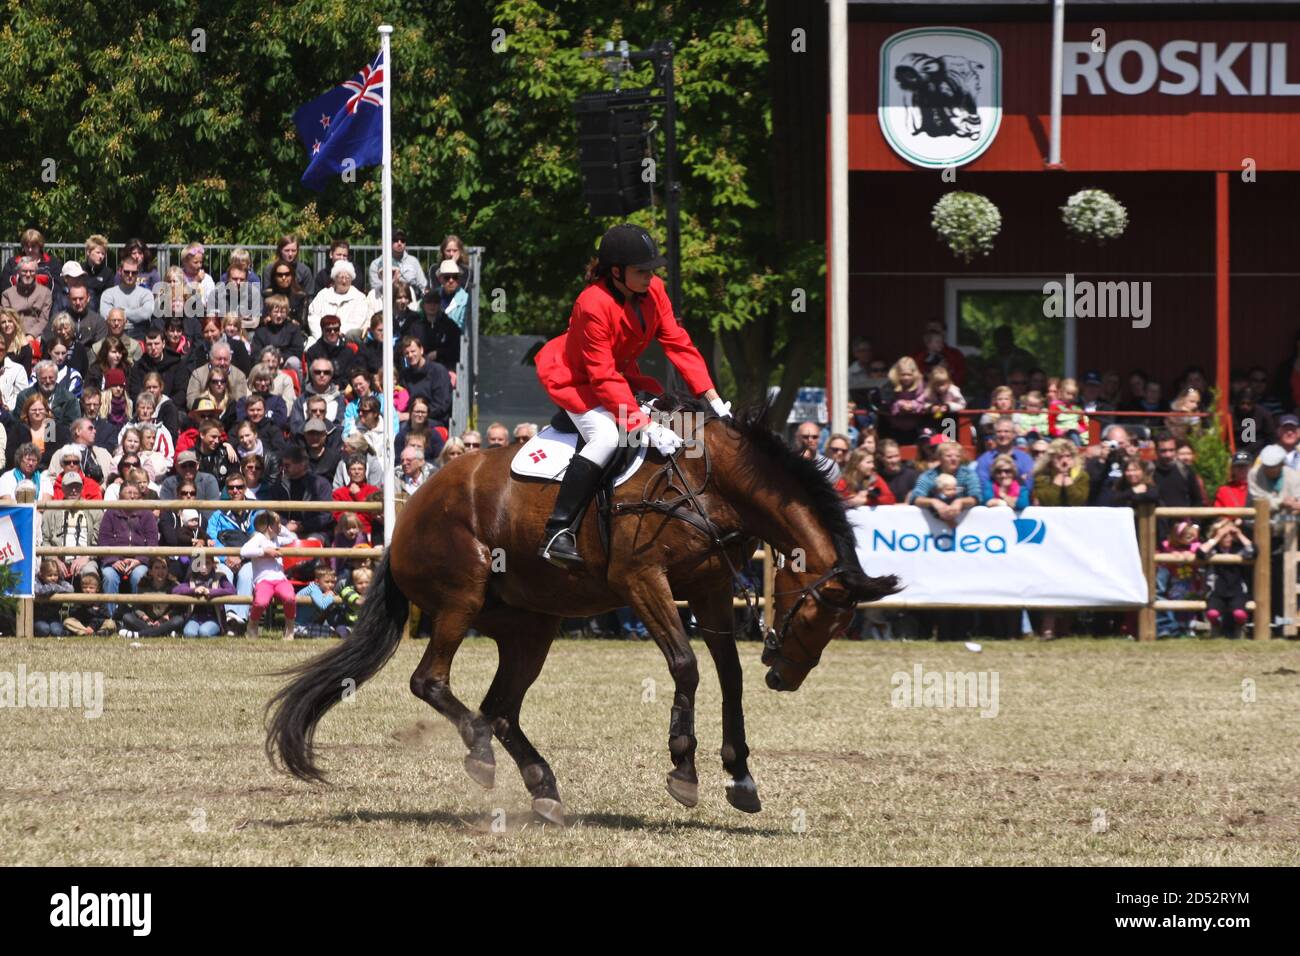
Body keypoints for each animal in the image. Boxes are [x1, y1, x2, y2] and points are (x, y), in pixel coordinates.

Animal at [263, 395, 894, 822]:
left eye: (840, 626)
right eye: (814, 614)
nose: (785, 678)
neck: (708, 480)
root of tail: (409, 512)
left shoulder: (711, 588)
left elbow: (729, 675)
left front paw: (739, 776)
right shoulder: (643, 581)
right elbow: (686, 666)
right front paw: (683, 768)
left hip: (532, 625)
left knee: (500, 708)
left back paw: (541, 785)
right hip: (462, 598)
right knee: (432, 682)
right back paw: (482, 756)